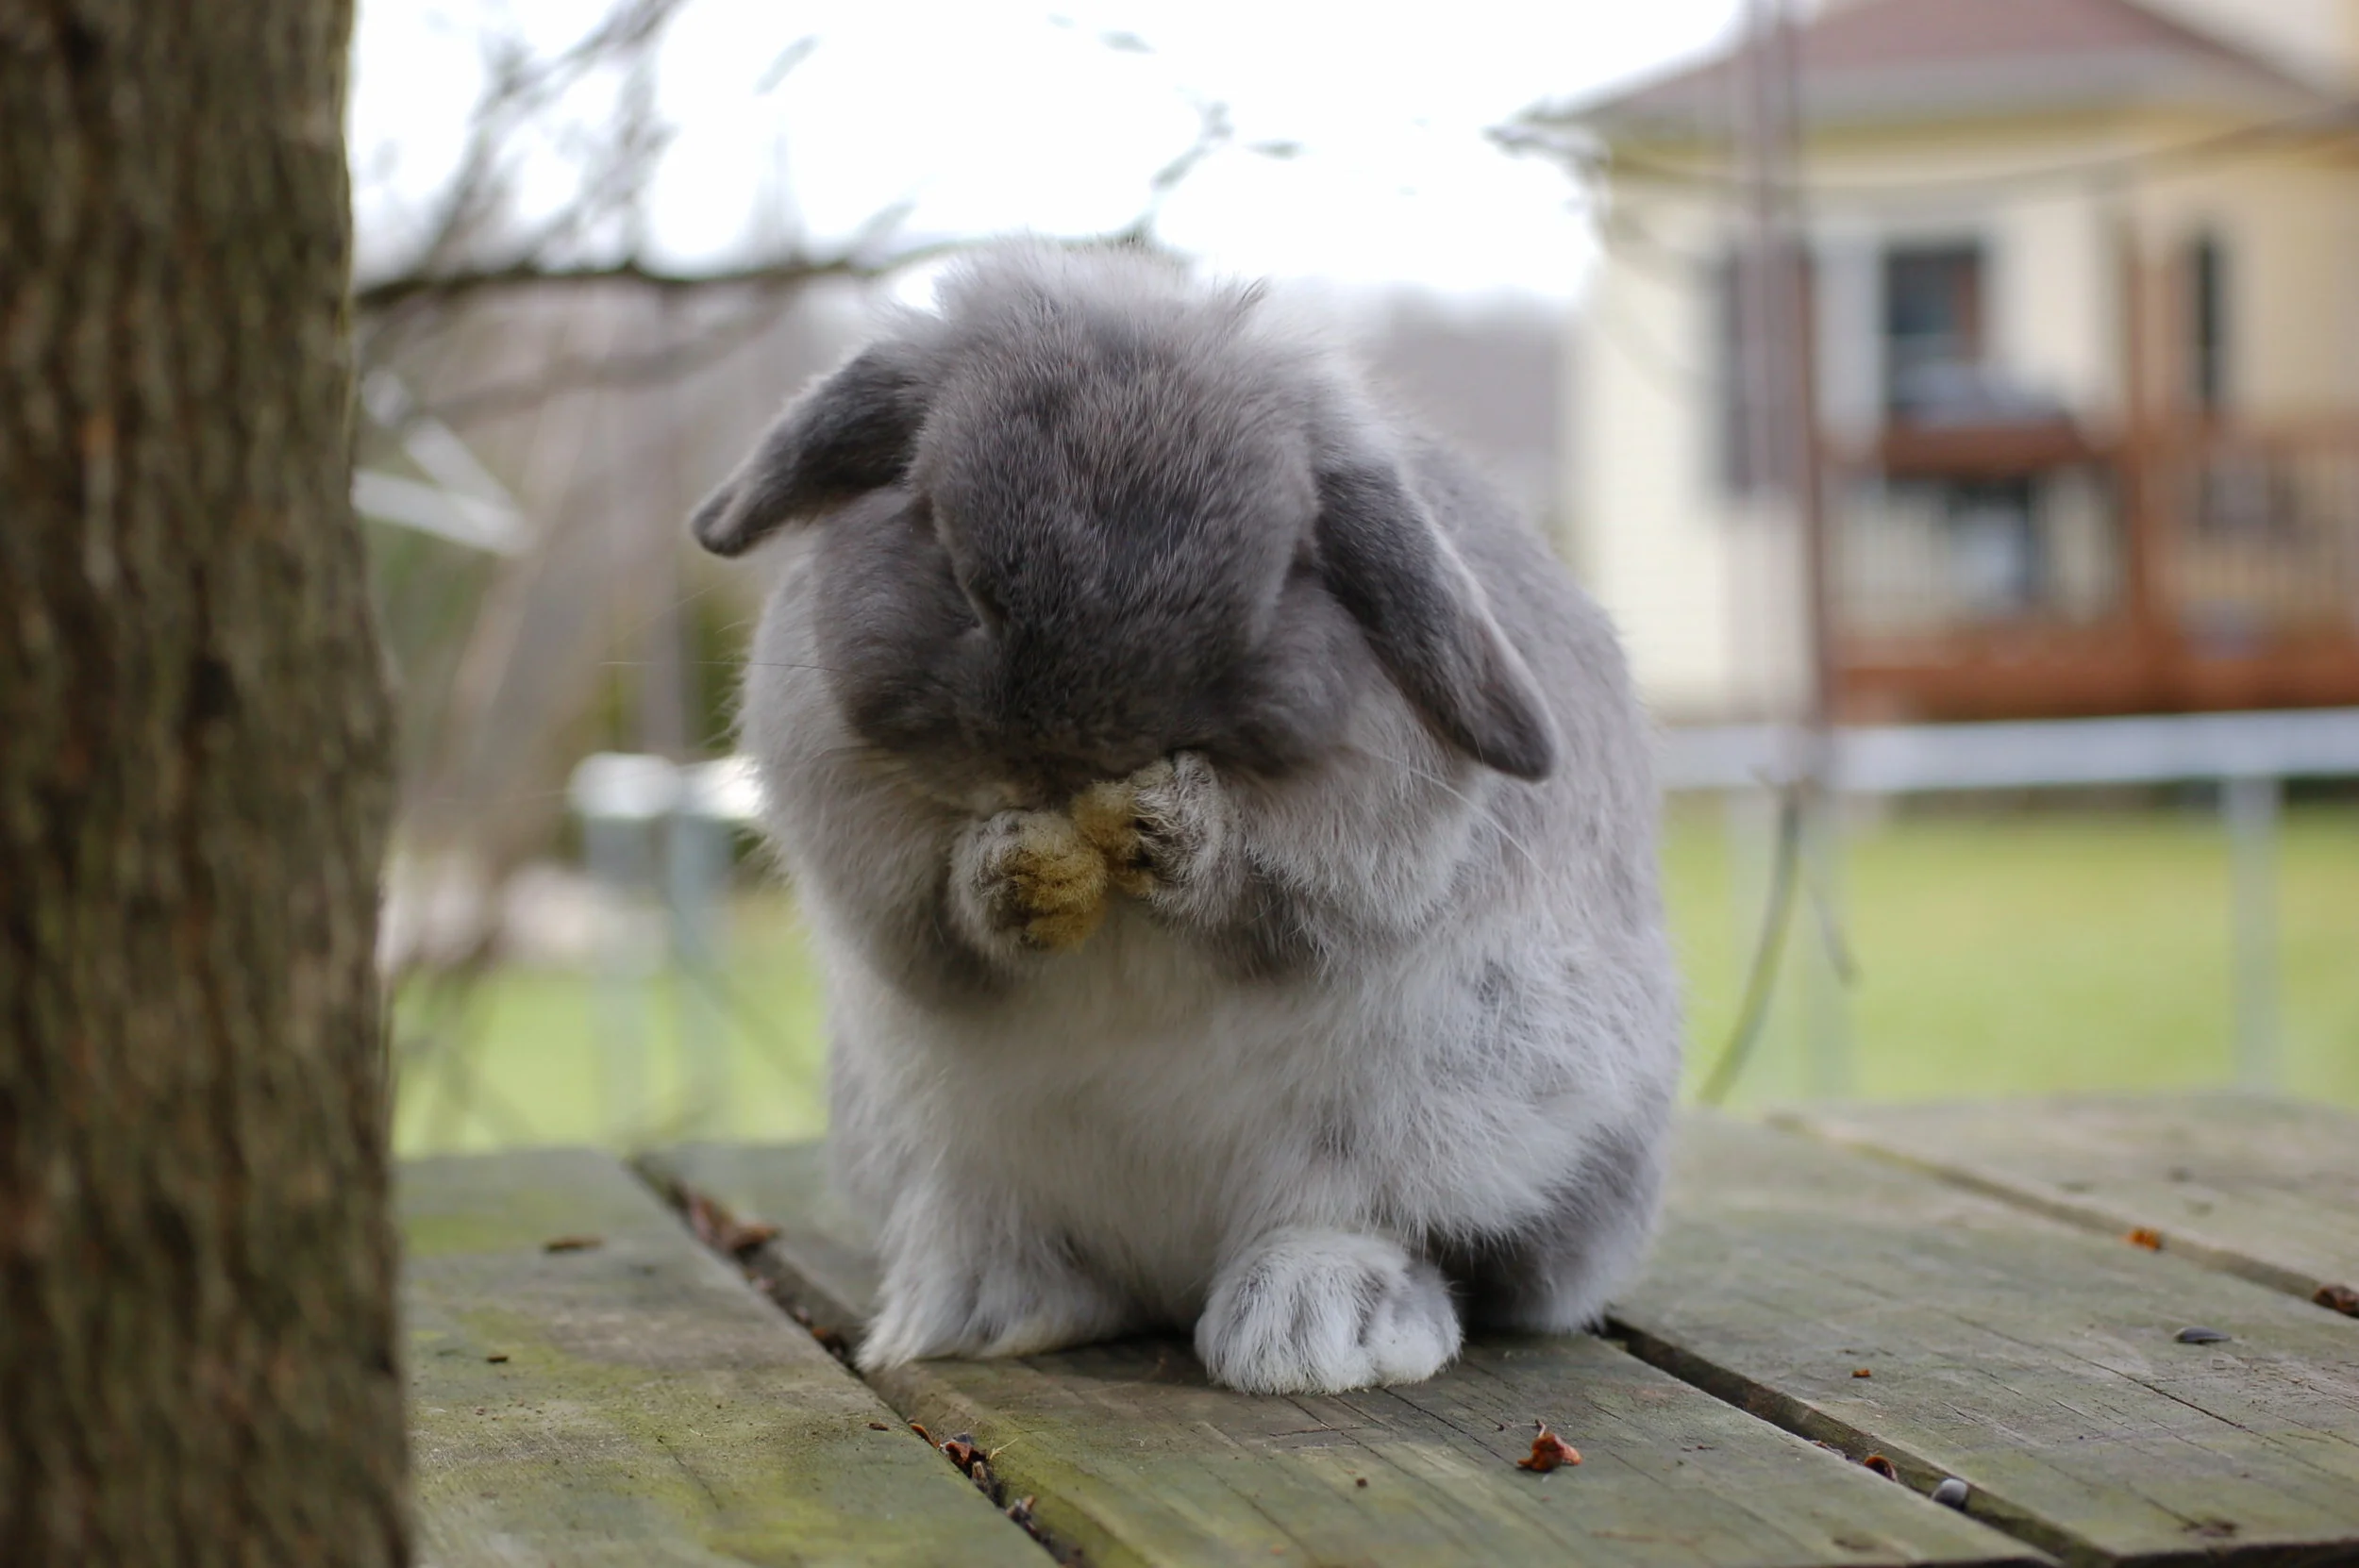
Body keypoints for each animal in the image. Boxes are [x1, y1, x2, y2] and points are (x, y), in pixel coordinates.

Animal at [689, 243, 1679, 1395]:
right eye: (935, 530)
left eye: (1288, 570)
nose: (1067, 745)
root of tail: (1173, 1272)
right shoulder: (856, 830)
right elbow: (932, 910)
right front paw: (1011, 874)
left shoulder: (1368, 849)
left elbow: (1276, 887)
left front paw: (1171, 833)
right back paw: (986, 1312)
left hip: (1463, 1106)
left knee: (1375, 1221)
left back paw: (1313, 1328)